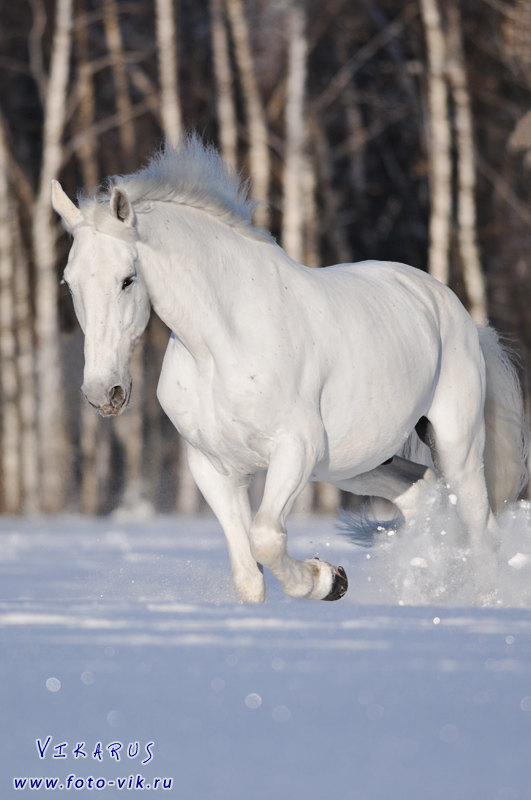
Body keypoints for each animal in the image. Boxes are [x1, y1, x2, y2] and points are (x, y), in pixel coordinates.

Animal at [51, 136, 528, 600]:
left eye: (127, 279)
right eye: (69, 282)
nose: (103, 392)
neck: (221, 346)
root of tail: (453, 309)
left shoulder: (295, 448)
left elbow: (265, 538)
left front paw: (329, 580)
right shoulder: (214, 467)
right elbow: (248, 575)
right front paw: (323, 580)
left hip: (456, 444)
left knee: (481, 531)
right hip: (357, 464)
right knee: (422, 494)